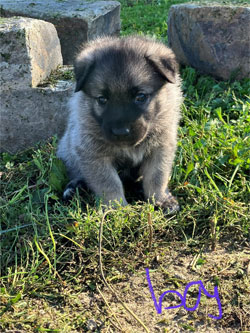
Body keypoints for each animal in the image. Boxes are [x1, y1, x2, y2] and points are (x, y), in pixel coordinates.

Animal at [57, 35, 183, 211]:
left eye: (140, 97)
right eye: (102, 99)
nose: (121, 132)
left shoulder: (160, 147)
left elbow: (157, 176)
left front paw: (160, 199)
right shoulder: (93, 154)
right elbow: (109, 183)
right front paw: (116, 209)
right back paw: (75, 188)